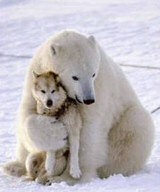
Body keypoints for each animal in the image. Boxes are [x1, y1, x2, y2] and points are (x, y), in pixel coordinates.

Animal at [2, 29, 155, 184]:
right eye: (75, 77)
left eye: (93, 74)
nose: (88, 99)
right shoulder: (35, 75)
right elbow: (27, 113)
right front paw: (55, 133)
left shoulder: (100, 87)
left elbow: (87, 131)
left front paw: (69, 178)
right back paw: (16, 166)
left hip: (125, 121)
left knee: (135, 126)